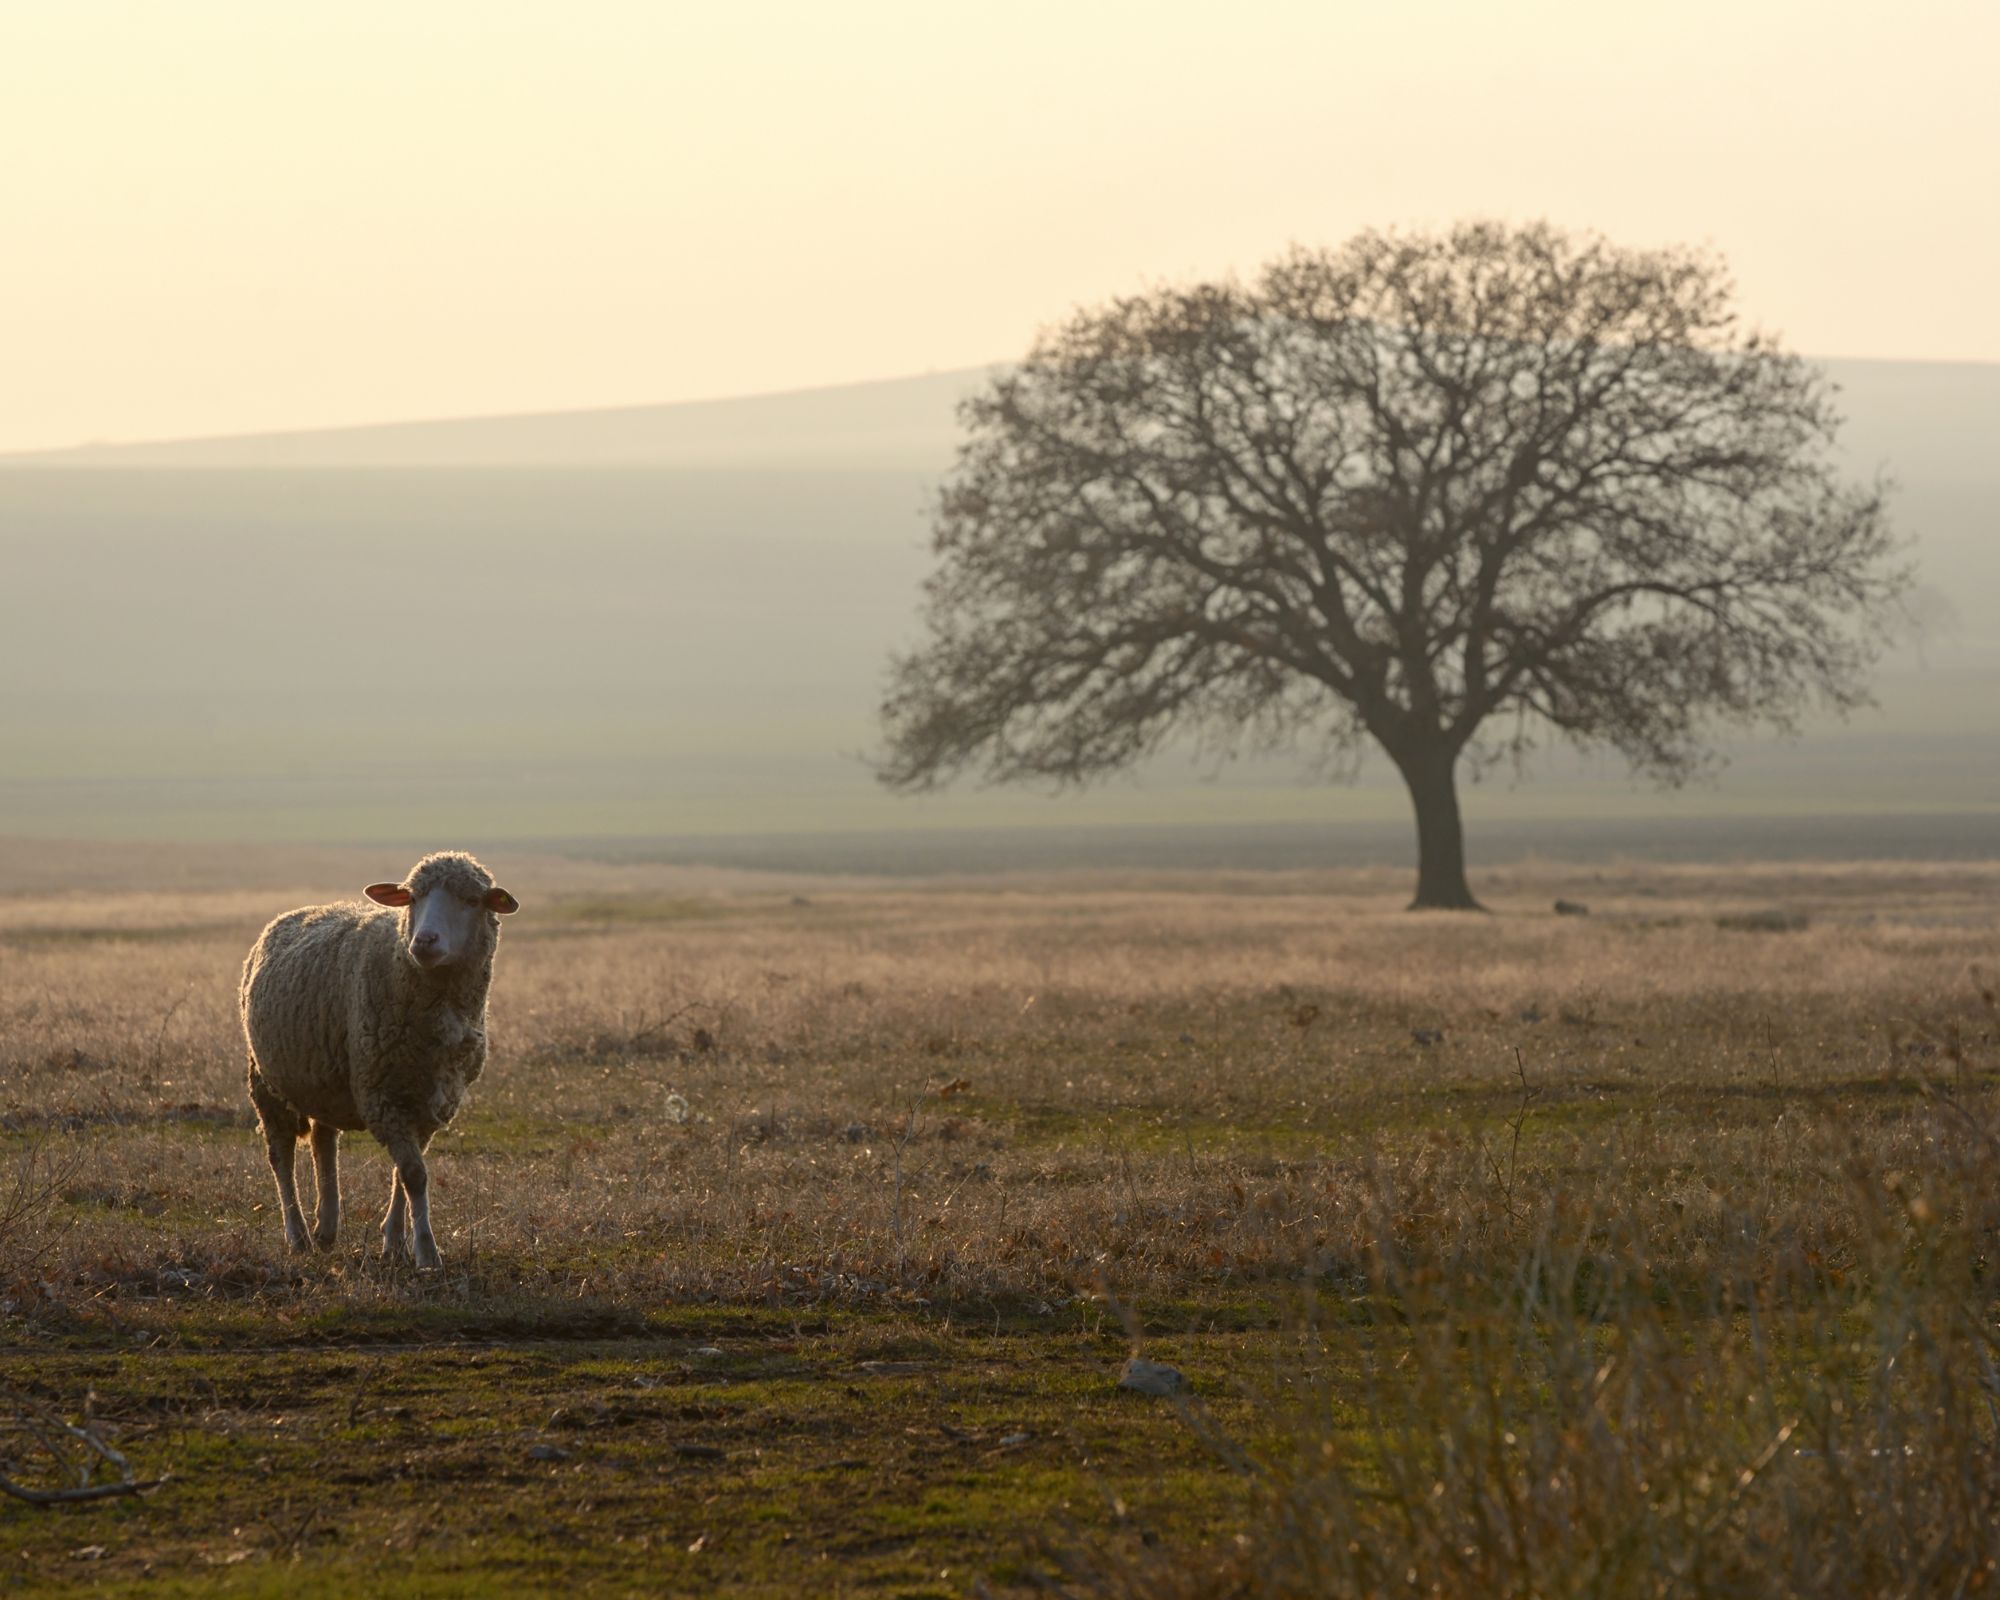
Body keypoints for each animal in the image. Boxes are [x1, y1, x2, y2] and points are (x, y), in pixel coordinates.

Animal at [240, 850, 520, 1268]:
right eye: (413, 898)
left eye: (472, 900)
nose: (424, 941)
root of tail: (294, 913)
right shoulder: (382, 1094)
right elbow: (413, 1174)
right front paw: (426, 1251)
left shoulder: (429, 1101)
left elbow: (403, 1174)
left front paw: (395, 1241)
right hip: (267, 1079)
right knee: (281, 1154)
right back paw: (298, 1234)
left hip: (326, 1078)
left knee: (324, 1143)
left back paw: (327, 1227)